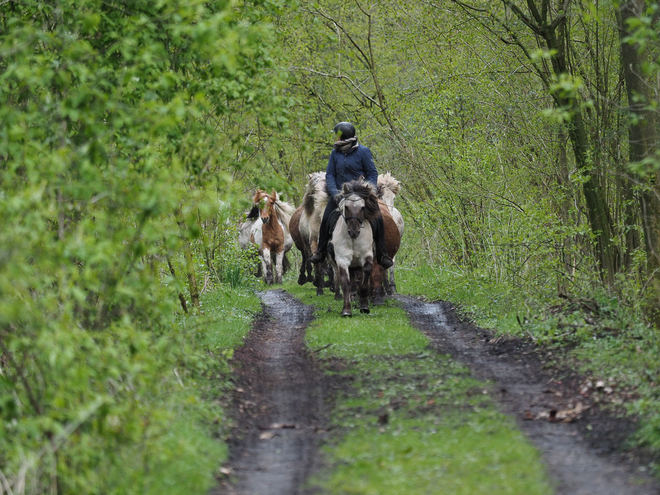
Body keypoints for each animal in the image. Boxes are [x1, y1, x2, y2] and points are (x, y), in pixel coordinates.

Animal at [328, 178, 378, 318]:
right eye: (346, 207)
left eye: (363, 207)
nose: (354, 232)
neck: (354, 239)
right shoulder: (342, 260)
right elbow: (346, 283)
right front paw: (346, 310)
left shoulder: (367, 256)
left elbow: (365, 277)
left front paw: (364, 306)